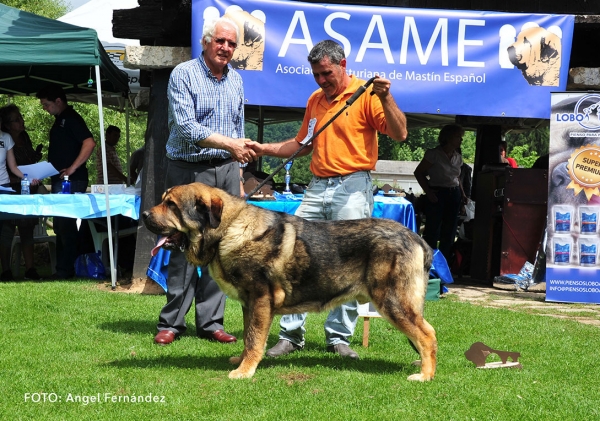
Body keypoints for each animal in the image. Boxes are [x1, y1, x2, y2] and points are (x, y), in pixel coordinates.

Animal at [144, 182, 438, 378]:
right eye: (163, 201)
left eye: (171, 205)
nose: (145, 215)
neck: (228, 230)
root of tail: (417, 238)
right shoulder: (249, 304)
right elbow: (250, 336)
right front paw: (241, 361)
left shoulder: (260, 299)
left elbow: (254, 339)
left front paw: (245, 371)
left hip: (393, 302)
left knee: (427, 334)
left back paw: (425, 375)